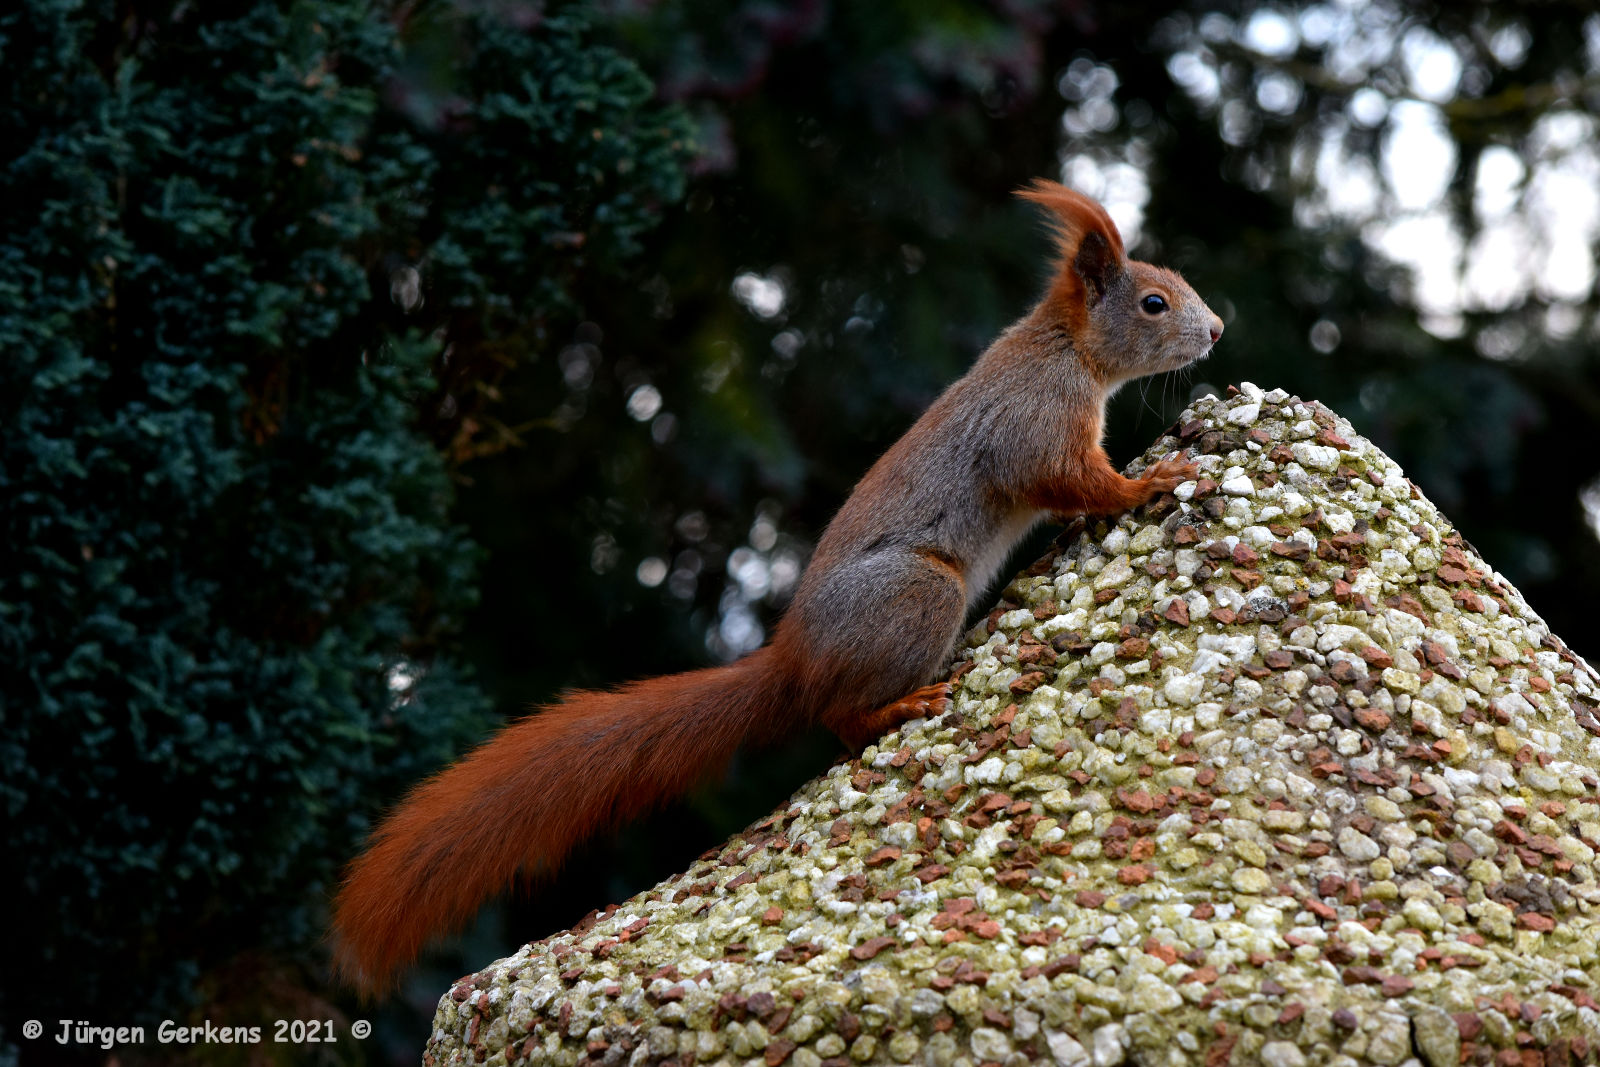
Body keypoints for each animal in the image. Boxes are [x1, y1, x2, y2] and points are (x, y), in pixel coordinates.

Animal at [328, 179, 1222, 991]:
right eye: (1153, 302)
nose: (1216, 328)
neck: (1066, 347)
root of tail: (790, 661)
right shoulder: (1035, 421)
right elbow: (1069, 479)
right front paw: (1149, 483)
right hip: (918, 592)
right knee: (839, 718)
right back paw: (898, 706)